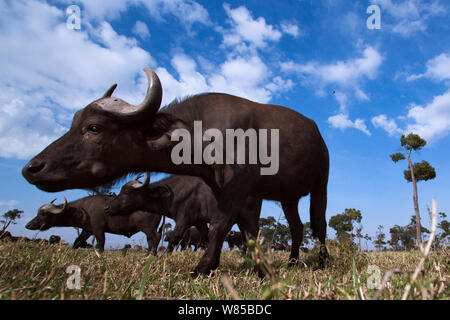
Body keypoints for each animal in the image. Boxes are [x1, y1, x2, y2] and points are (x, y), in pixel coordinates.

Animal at [22, 67, 330, 276]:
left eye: (94, 127)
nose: (32, 168)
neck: (201, 134)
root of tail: (318, 135)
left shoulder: (237, 188)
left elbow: (220, 226)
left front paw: (203, 267)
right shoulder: (229, 192)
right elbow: (246, 231)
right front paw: (259, 269)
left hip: (321, 185)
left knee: (318, 224)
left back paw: (323, 260)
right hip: (288, 196)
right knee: (297, 227)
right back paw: (292, 261)